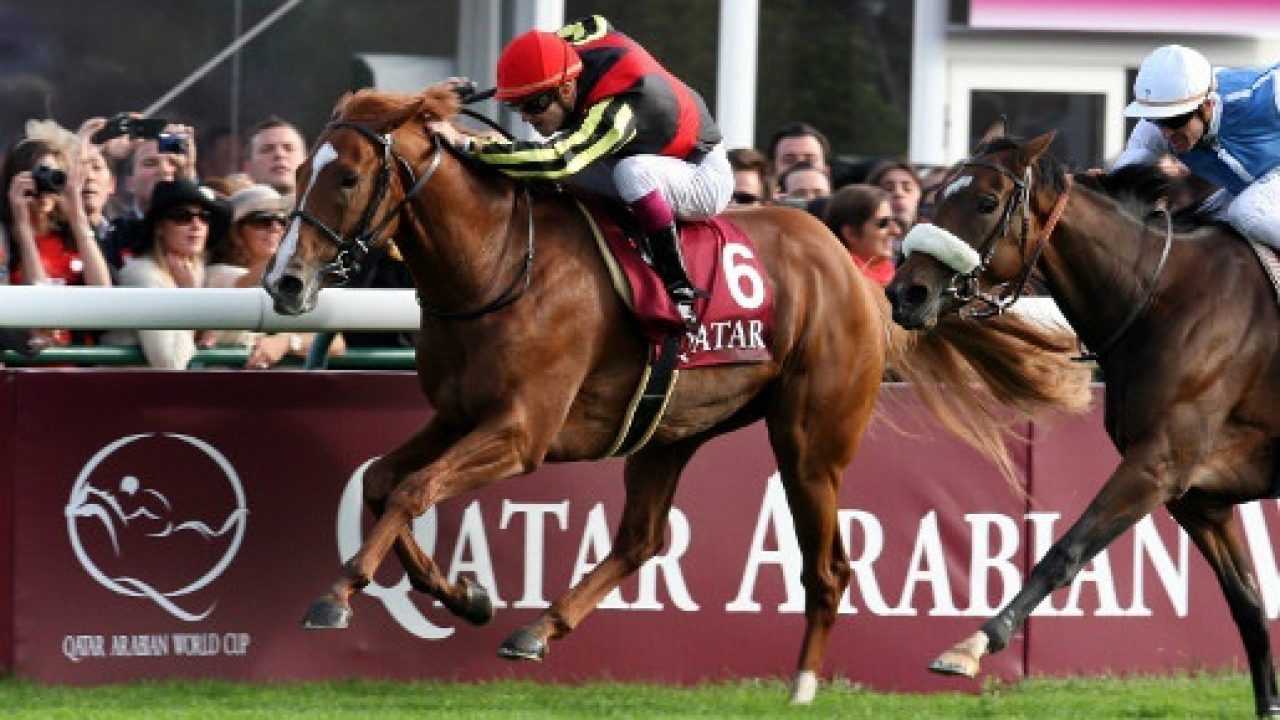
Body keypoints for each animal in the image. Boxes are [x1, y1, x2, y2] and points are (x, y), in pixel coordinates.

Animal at [259, 85, 1090, 702]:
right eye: (298, 174)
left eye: (346, 177)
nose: (284, 282)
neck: (495, 262)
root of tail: (861, 276)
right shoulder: (459, 414)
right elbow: (384, 482)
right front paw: (463, 595)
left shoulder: (520, 431)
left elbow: (413, 490)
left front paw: (337, 594)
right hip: (669, 429)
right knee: (642, 537)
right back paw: (538, 628)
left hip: (809, 443)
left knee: (827, 568)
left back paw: (803, 685)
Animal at [885, 128, 1280, 712]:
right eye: (935, 196)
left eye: (985, 202)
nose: (904, 292)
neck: (1163, 298)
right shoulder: (1197, 496)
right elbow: (1249, 605)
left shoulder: (1157, 464)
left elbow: (1066, 549)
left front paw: (973, 643)